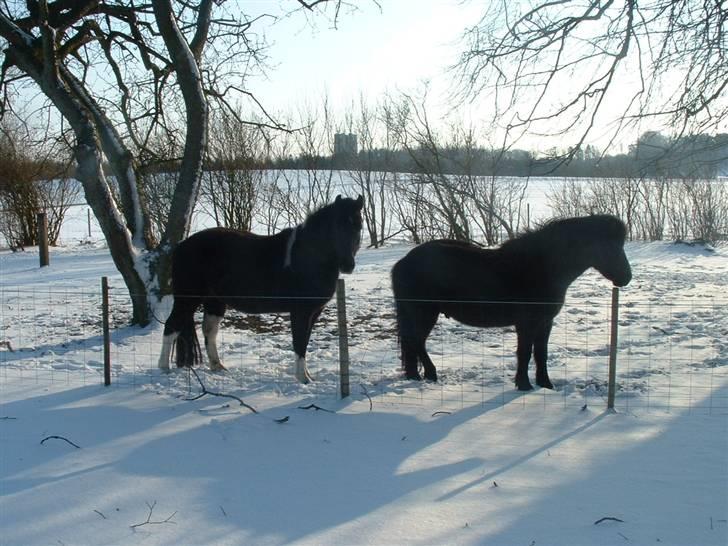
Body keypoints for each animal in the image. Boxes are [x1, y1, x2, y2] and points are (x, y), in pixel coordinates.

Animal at [159, 196, 364, 382]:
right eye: (335, 226)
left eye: (358, 227)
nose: (348, 265)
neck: (306, 258)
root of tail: (181, 247)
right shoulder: (300, 311)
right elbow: (299, 343)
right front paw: (303, 379)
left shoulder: (314, 312)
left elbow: (304, 342)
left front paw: (307, 376)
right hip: (187, 299)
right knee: (171, 326)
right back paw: (163, 368)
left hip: (214, 302)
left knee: (209, 331)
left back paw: (218, 367)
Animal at [392, 212, 632, 386]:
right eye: (610, 247)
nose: (626, 278)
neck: (541, 266)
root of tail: (403, 262)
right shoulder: (526, 323)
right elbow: (524, 353)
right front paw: (524, 385)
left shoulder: (545, 322)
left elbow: (541, 353)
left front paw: (545, 385)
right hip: (424, 313)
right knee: (416, 342)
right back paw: (430, 374)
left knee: (414, 344)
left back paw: (416, 375)